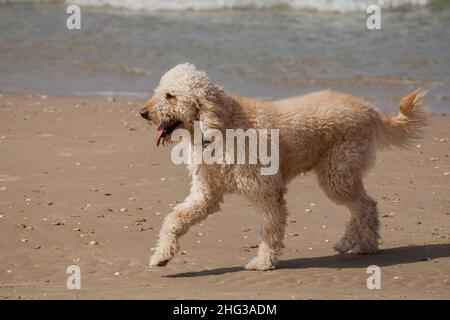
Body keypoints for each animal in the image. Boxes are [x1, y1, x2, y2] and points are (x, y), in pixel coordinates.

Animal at [139, 62, 428, 270]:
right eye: (158, 91)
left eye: (170, 95)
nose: (143, 112)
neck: (221, 125)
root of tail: (370, 109)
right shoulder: (206, 194)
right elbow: (175, 219)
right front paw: (161, 255)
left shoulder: (267, 192)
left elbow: (270, 230)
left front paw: (263, 263)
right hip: (340, 174)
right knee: (362, 206)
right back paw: (352, 242)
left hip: (337, 175)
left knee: (365, 205)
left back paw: (363, 244)